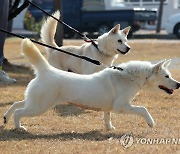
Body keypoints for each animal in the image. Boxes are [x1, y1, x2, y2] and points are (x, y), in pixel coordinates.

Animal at [3, 39, 180, 131]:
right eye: (166, 76)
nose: (178, 84)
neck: (128, 76)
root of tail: (46, 70)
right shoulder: (121, 106)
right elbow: (143, 109)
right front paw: (151, 122)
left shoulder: (109, 108)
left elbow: (107, 117)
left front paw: (109, 128)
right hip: (39, 106)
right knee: (19, 112)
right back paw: (19, 127)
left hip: (35, 101)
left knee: (16, 104)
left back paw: (5, 118)